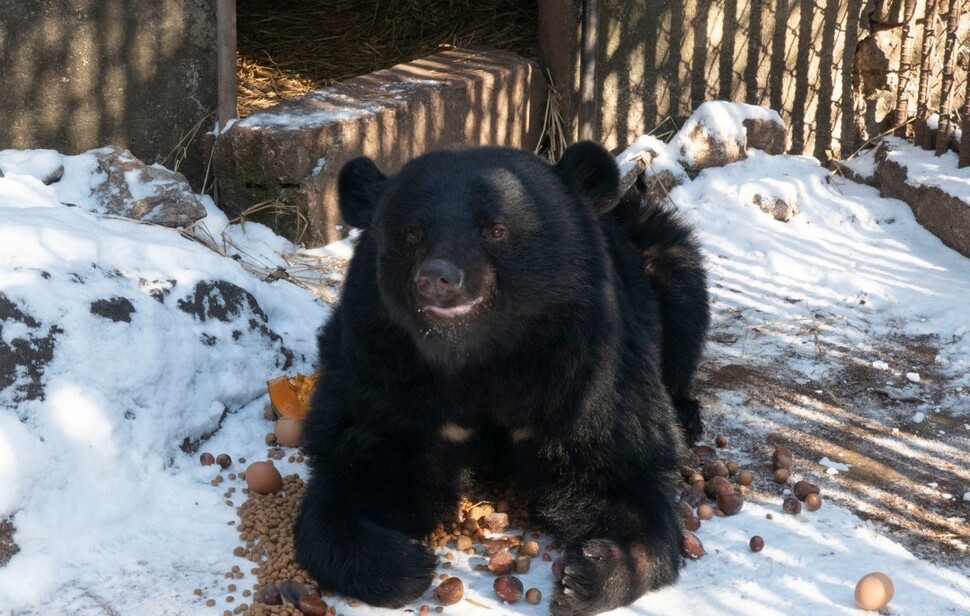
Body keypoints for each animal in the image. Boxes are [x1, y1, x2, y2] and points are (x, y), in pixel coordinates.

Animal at [292, 141, 708, 616]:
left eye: (496, 230)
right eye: (412, 233)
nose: (438, 279)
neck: (480, 357)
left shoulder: (584, 374)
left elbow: (619, 468)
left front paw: (590, 573)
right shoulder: (381, 373)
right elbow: (357, 467)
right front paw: (404, 562)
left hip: (665, 260)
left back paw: (686, 413)